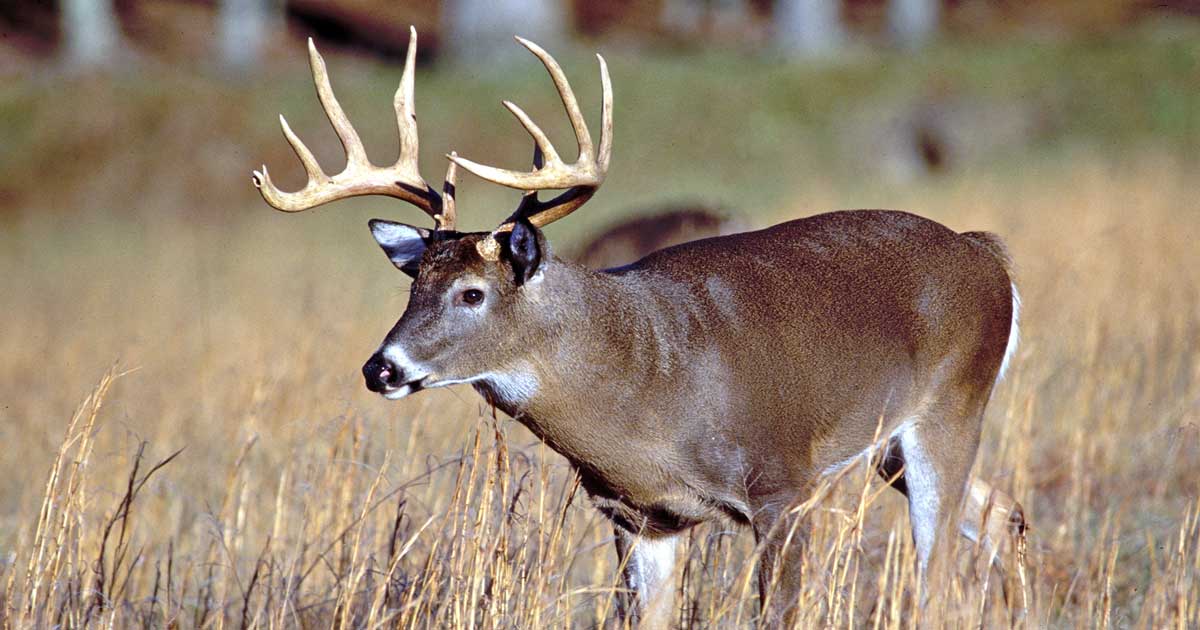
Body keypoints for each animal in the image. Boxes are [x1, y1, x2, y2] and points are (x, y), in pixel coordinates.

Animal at [252, 28, 1027, 627]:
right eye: (414, 286)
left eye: (472, 293)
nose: (380, 367)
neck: (650, 383)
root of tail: (988, 254)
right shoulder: (639, 517)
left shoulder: (783, 486)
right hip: (887, 445)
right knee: (1002, 512)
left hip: (952, 402)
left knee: (937, 573)